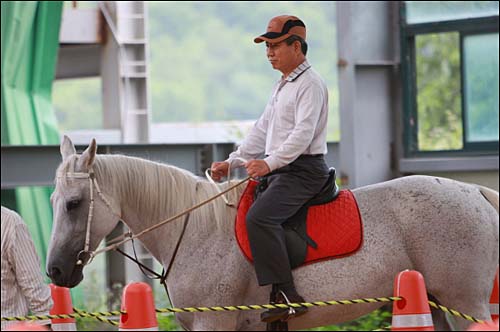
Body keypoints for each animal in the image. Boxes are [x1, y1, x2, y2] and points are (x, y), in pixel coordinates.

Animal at [46, 136, 496, 330]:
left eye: (74, 203)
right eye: (53, 200)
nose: (55, 272)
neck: (193, 232)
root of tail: (474, 191)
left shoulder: (214, 325)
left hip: (465, 303)